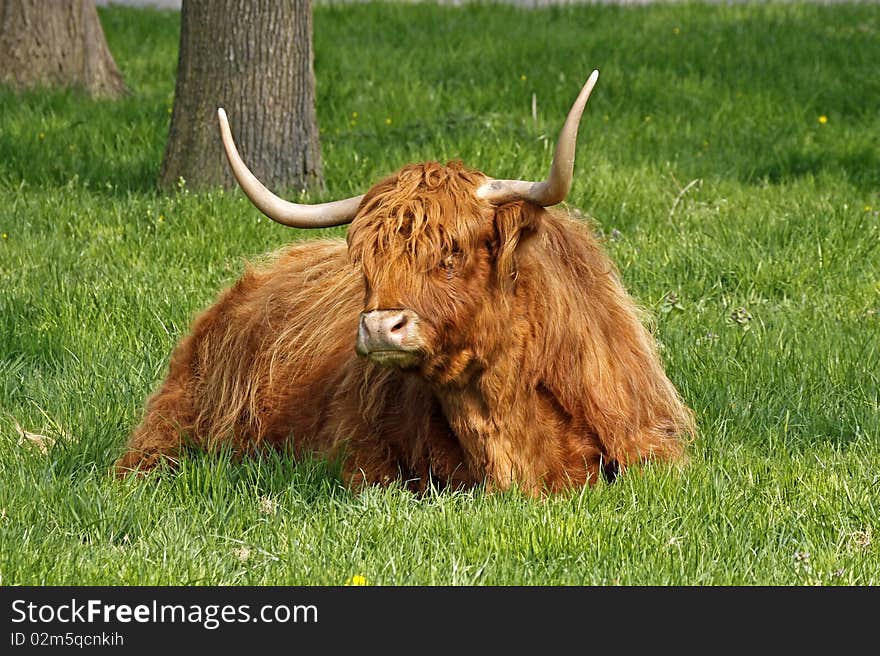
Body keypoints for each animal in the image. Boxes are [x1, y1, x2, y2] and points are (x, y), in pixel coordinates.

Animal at [115, 72, 696, 492]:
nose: (379, 328)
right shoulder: (357, 451)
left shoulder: (654, 446)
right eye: (366, 261)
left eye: (452, 253)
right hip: (174, 422)